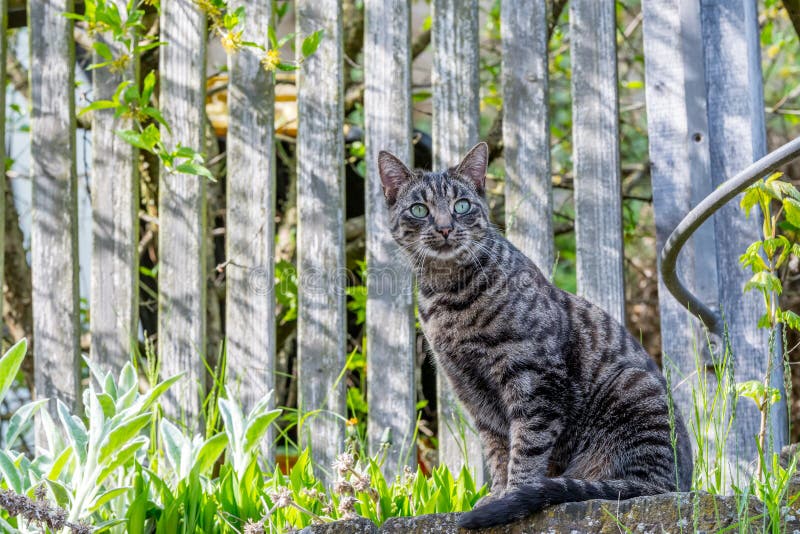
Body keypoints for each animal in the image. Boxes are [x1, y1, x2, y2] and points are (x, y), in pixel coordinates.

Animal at [378, 142, 692, 532]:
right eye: (419, 209)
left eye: (461, 205)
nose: (446, 227)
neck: (452, 297)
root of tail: (677, 483)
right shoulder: (472, 390)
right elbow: (498, 448)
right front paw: (499, 493)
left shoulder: (535, 380)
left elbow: (526, 447)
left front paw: (514, 495)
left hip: (633, 393)